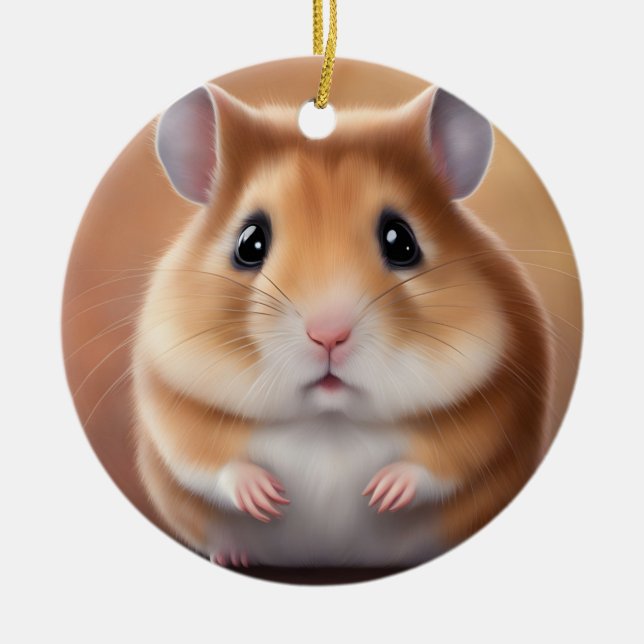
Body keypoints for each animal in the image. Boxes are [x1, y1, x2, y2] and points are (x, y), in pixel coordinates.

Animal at [132, 83, 553, 568]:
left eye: (402, 241)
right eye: (249, 243)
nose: (328, 335)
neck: (329, 422)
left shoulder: (495, 405)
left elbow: (445, 459)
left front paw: (382, 494)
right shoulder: (173, 409)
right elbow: (210, 460)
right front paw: (268, 498)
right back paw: (235, 556)